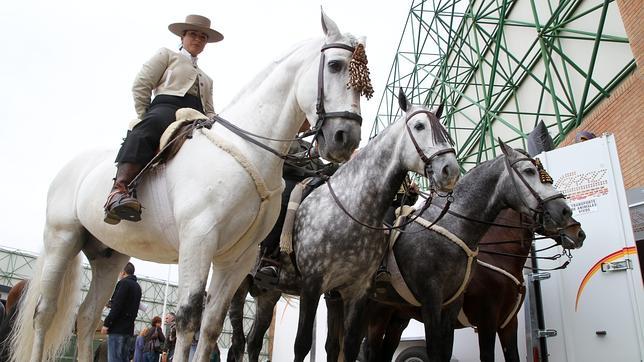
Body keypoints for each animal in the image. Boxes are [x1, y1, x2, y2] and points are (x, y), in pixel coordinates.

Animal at [10, 11, 370, 362]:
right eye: (335, 65)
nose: (345, 138)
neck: (246, 148)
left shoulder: (238, 259)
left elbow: (210, 326)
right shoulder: (198, 240)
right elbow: (187, 318)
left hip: (108, 257)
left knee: (86, 317)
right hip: (62, 239)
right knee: (45, 313)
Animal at [292, 91, 462, 362]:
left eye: (445, 130)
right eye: (419, 126)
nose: (451, 171)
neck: (352, 210)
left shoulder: (357, 291)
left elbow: (350, 346)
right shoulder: (311, 283)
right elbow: (302, 344)